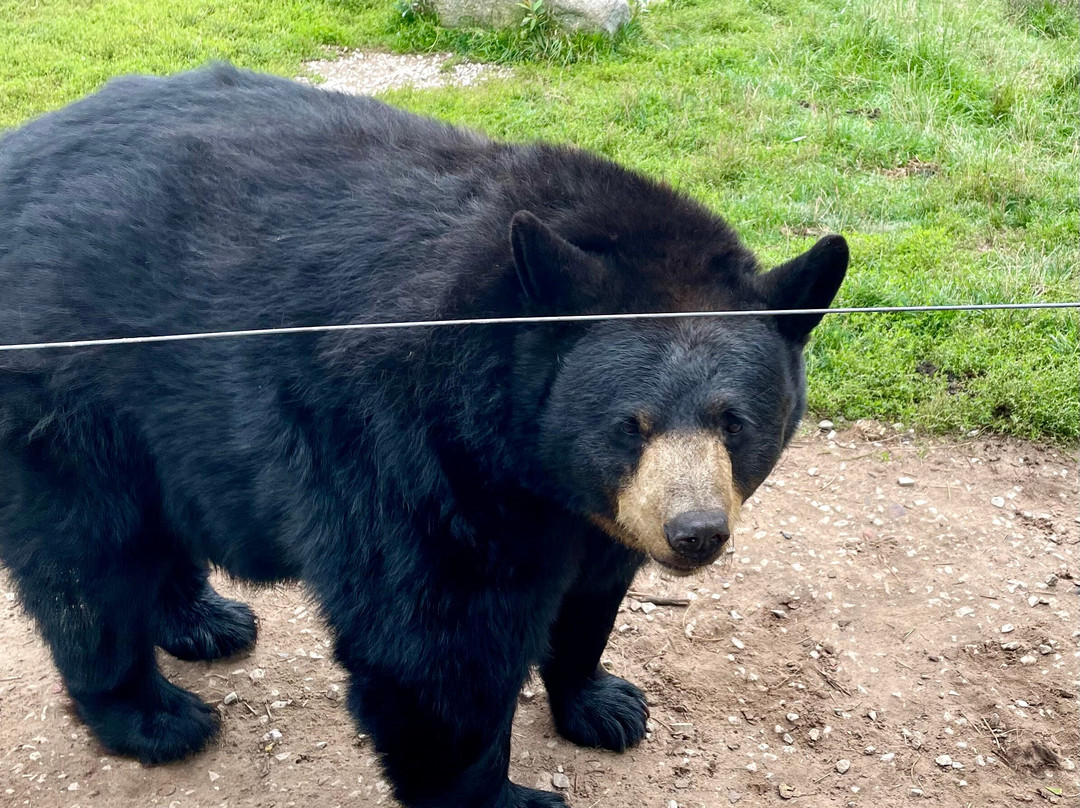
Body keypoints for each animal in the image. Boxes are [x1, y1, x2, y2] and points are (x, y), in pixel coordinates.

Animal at [0, 64, 847, 807]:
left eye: (734, 421)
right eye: (629, 425)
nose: (694, 532)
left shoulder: (593, 507)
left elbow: (592, 595)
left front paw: (605, 703)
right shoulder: (414, 448)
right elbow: (434, 644)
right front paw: (504, 793)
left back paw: (205, 621)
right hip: (67, 395)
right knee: (87, 564)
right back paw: (155, 715)